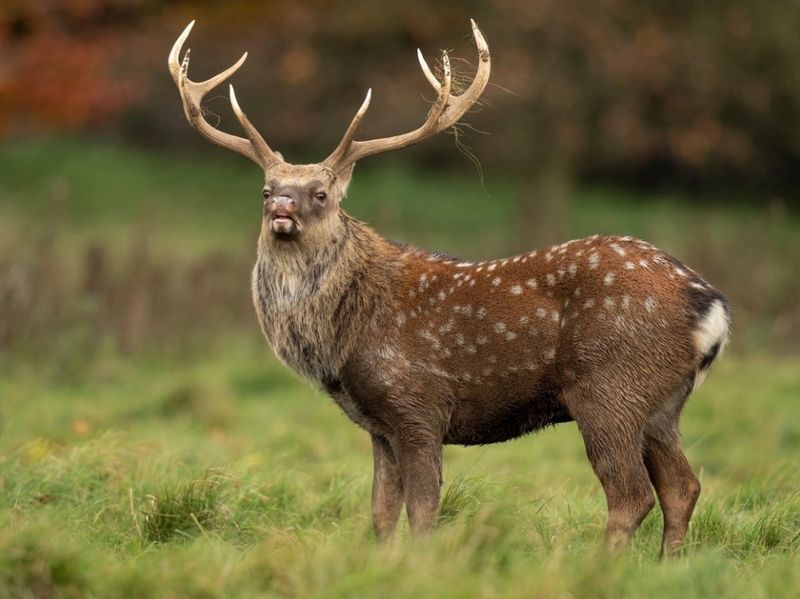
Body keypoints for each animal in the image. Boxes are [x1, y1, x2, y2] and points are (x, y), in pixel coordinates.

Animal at [169, 20, 730, 557]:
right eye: (265, 191)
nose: (283, 208)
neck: (343, 340)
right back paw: (666, 568)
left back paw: (601, 568)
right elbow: (381, 513)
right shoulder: (380, 425)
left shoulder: (419, 406)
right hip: (661, 405)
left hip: (609, 389)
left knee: (631, 494)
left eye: (321, 193)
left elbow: (422, 510)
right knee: (682, 487)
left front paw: (421, 567)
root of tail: (711, 307)